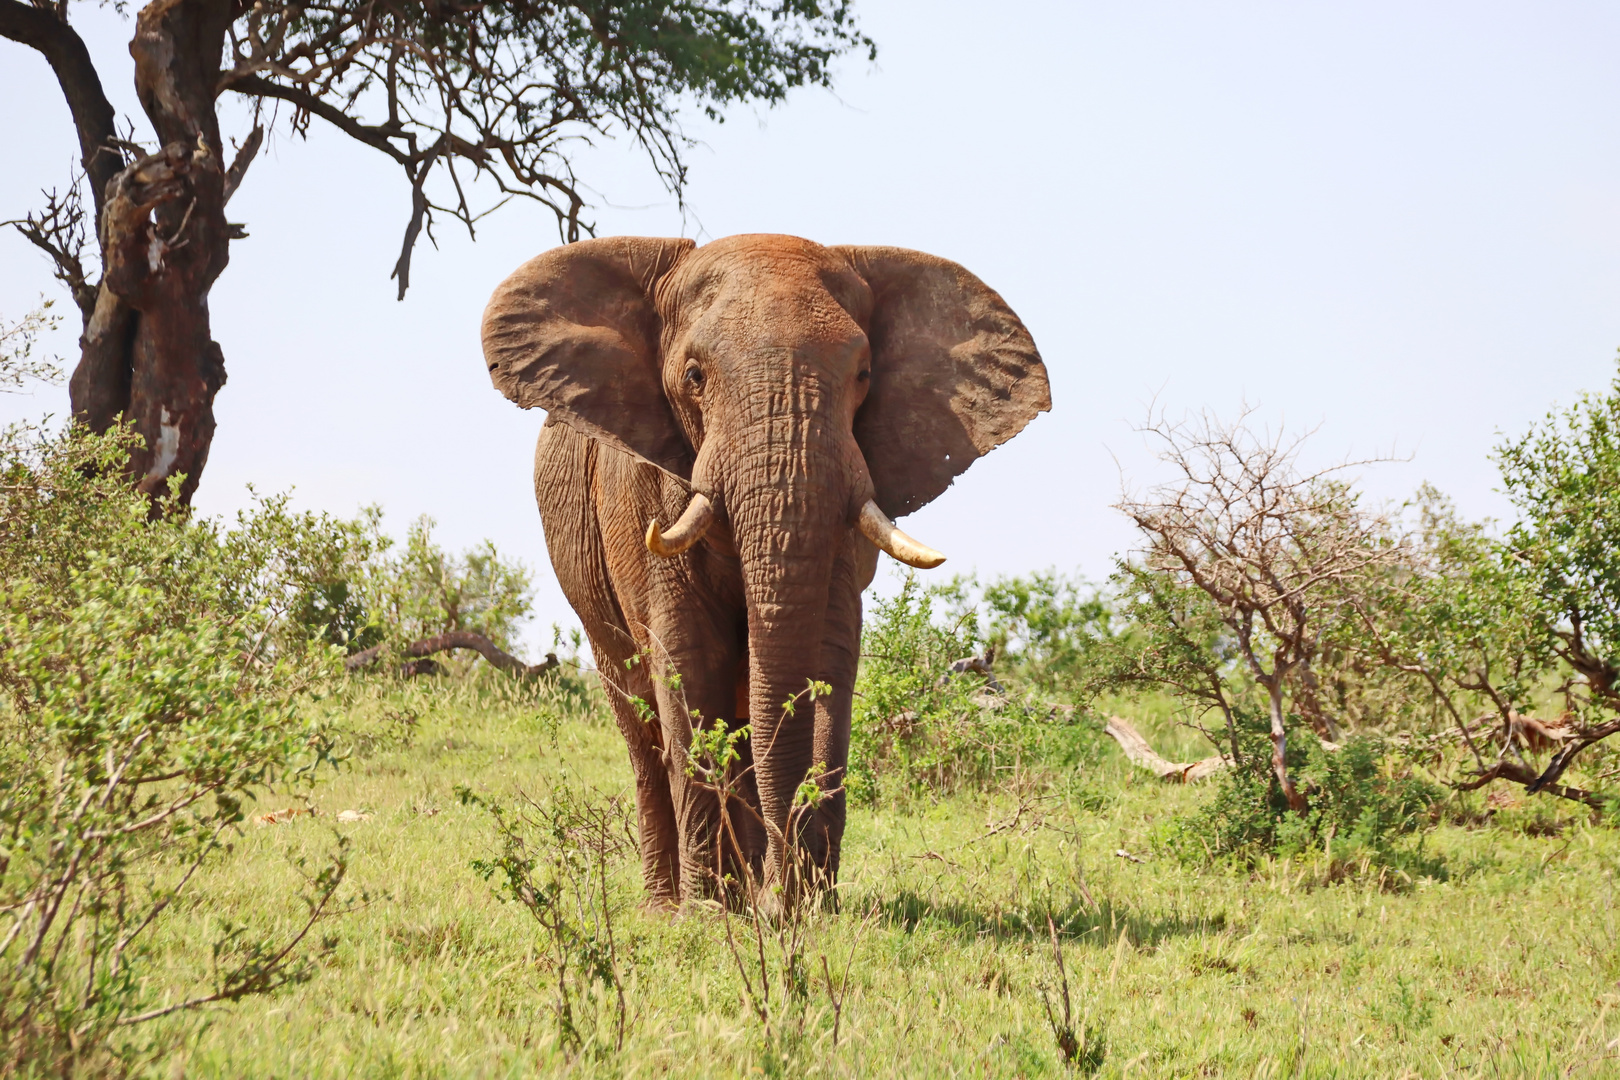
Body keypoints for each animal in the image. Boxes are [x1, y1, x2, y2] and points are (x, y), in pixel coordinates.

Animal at [479, 233, 1049, 906]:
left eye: (863, 375)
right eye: (694, 377)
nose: (780, 896)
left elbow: (826, 657)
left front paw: (806, 908)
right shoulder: (642, 493)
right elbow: (687, 661)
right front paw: (709, 912)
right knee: (641, 724)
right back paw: (670, 904)